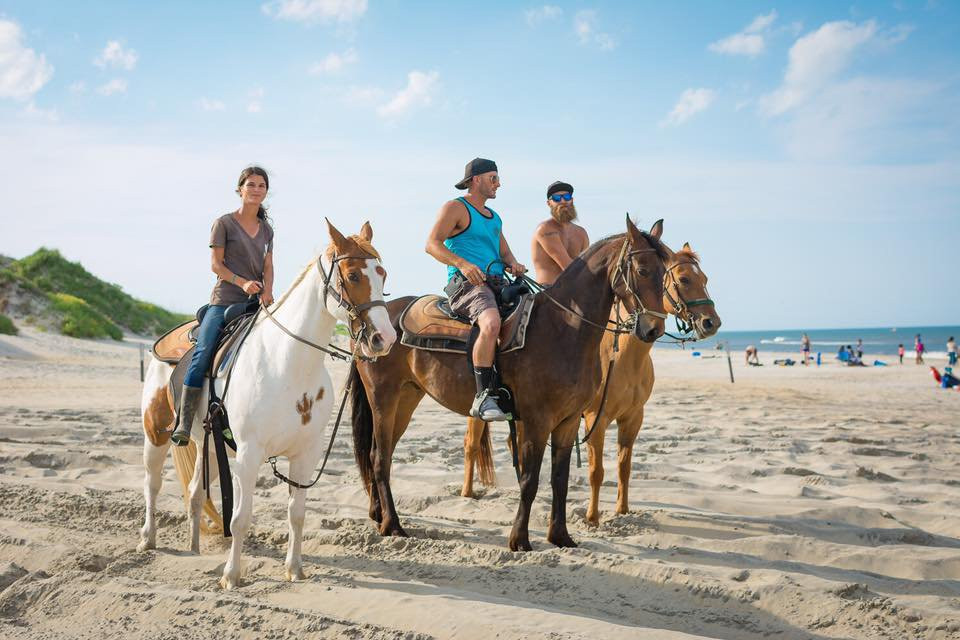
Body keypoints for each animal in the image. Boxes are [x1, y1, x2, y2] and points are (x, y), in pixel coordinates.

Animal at [137, 221, 396, 592]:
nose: (384, 339)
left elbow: (297, 514)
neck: (287, 363)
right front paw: (232, 575)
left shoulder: (305, 455)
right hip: (156, 433)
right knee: (152, 482)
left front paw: (295, 569)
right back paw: (148, 538)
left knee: (195, 492)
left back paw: (194, 547)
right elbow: (240, 518)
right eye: (352, 275)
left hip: (209, 447)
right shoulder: (248, 454)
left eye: (382, 274)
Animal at [350, 219, 668, 552]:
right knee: (379, 458)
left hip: (406, 399)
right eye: (642, 270)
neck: (563, 329)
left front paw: (560, 536)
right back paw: (392, 525)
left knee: (378, 454)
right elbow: (529, 480)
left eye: (664, 272)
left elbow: (560, 480)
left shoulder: (568, 422)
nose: (654, 329)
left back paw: (379, 515)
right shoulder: (537, 421)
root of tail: (372, 325)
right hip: (383, 398)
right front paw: (520, 539)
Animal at [464, 240, 720, 524]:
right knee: (471, 444)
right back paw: (467, 493)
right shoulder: (595, 418)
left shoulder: (633, 417)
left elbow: (624, 467)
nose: (712, 322)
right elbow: (596, 471)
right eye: (684, 279)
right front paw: (592, 517)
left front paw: (622, 509)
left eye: (704, 278)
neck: (625, 359)